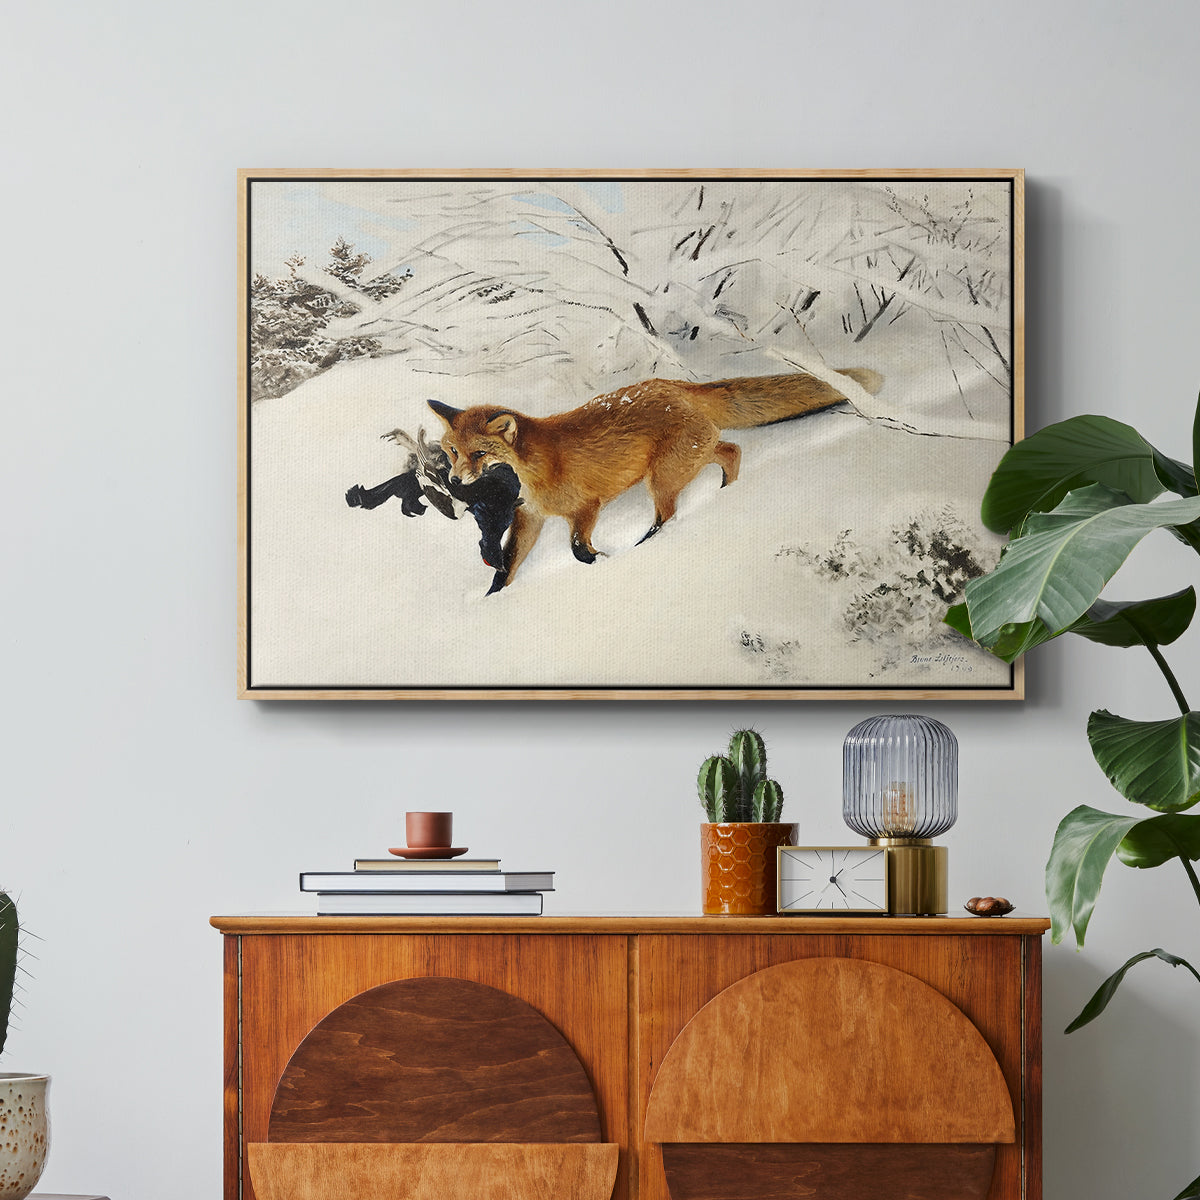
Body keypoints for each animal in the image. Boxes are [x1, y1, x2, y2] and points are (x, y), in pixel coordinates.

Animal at [429, 367, 883, 591]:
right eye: (452, 450)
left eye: (479, 454)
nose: (454, 479)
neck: (535, 468)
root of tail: (676, 385)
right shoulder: (530, 517)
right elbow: (507, 566)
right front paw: (492, 599)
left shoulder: (586, 507)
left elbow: (577, 549)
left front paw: (602, 561)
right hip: (687, 460)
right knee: (732, 450)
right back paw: (726, 492)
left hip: (662, 478)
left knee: (669, 515)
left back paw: (649, 543)